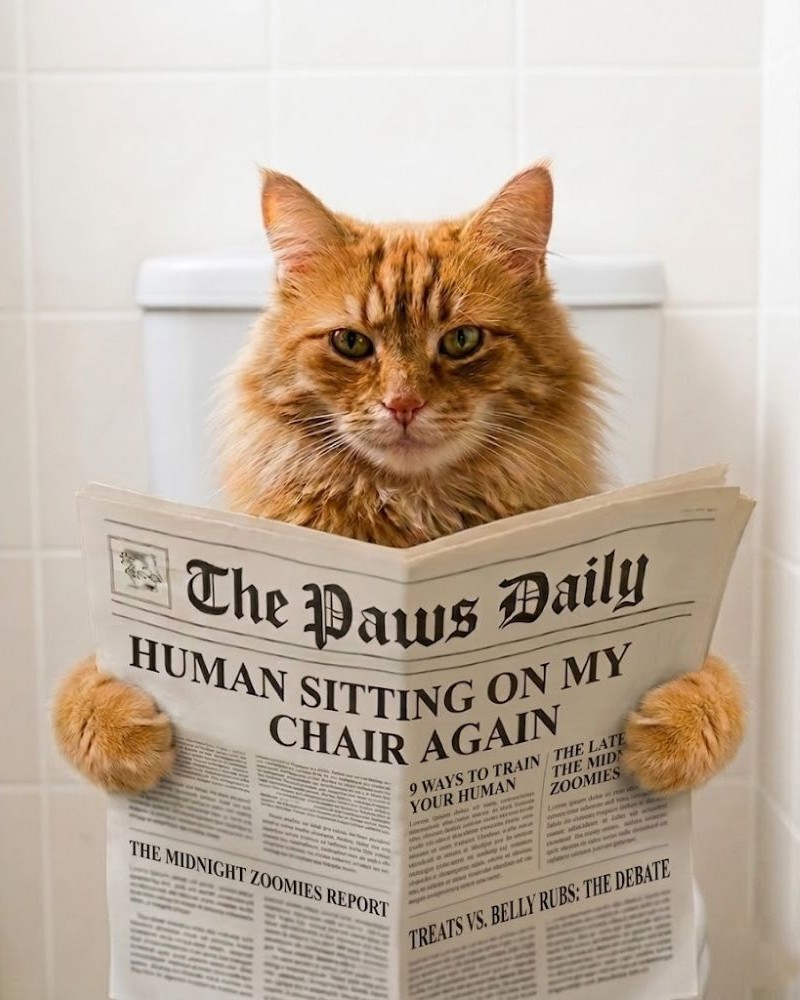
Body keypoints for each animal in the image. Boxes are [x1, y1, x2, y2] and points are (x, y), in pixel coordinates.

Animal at [52, 164, 744, 796]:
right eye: (351, 343)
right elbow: (82, 690)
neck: (414, 517)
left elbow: (718, 687)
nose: (403, 404)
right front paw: (126, 731)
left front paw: (670, 730)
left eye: (462, 340)